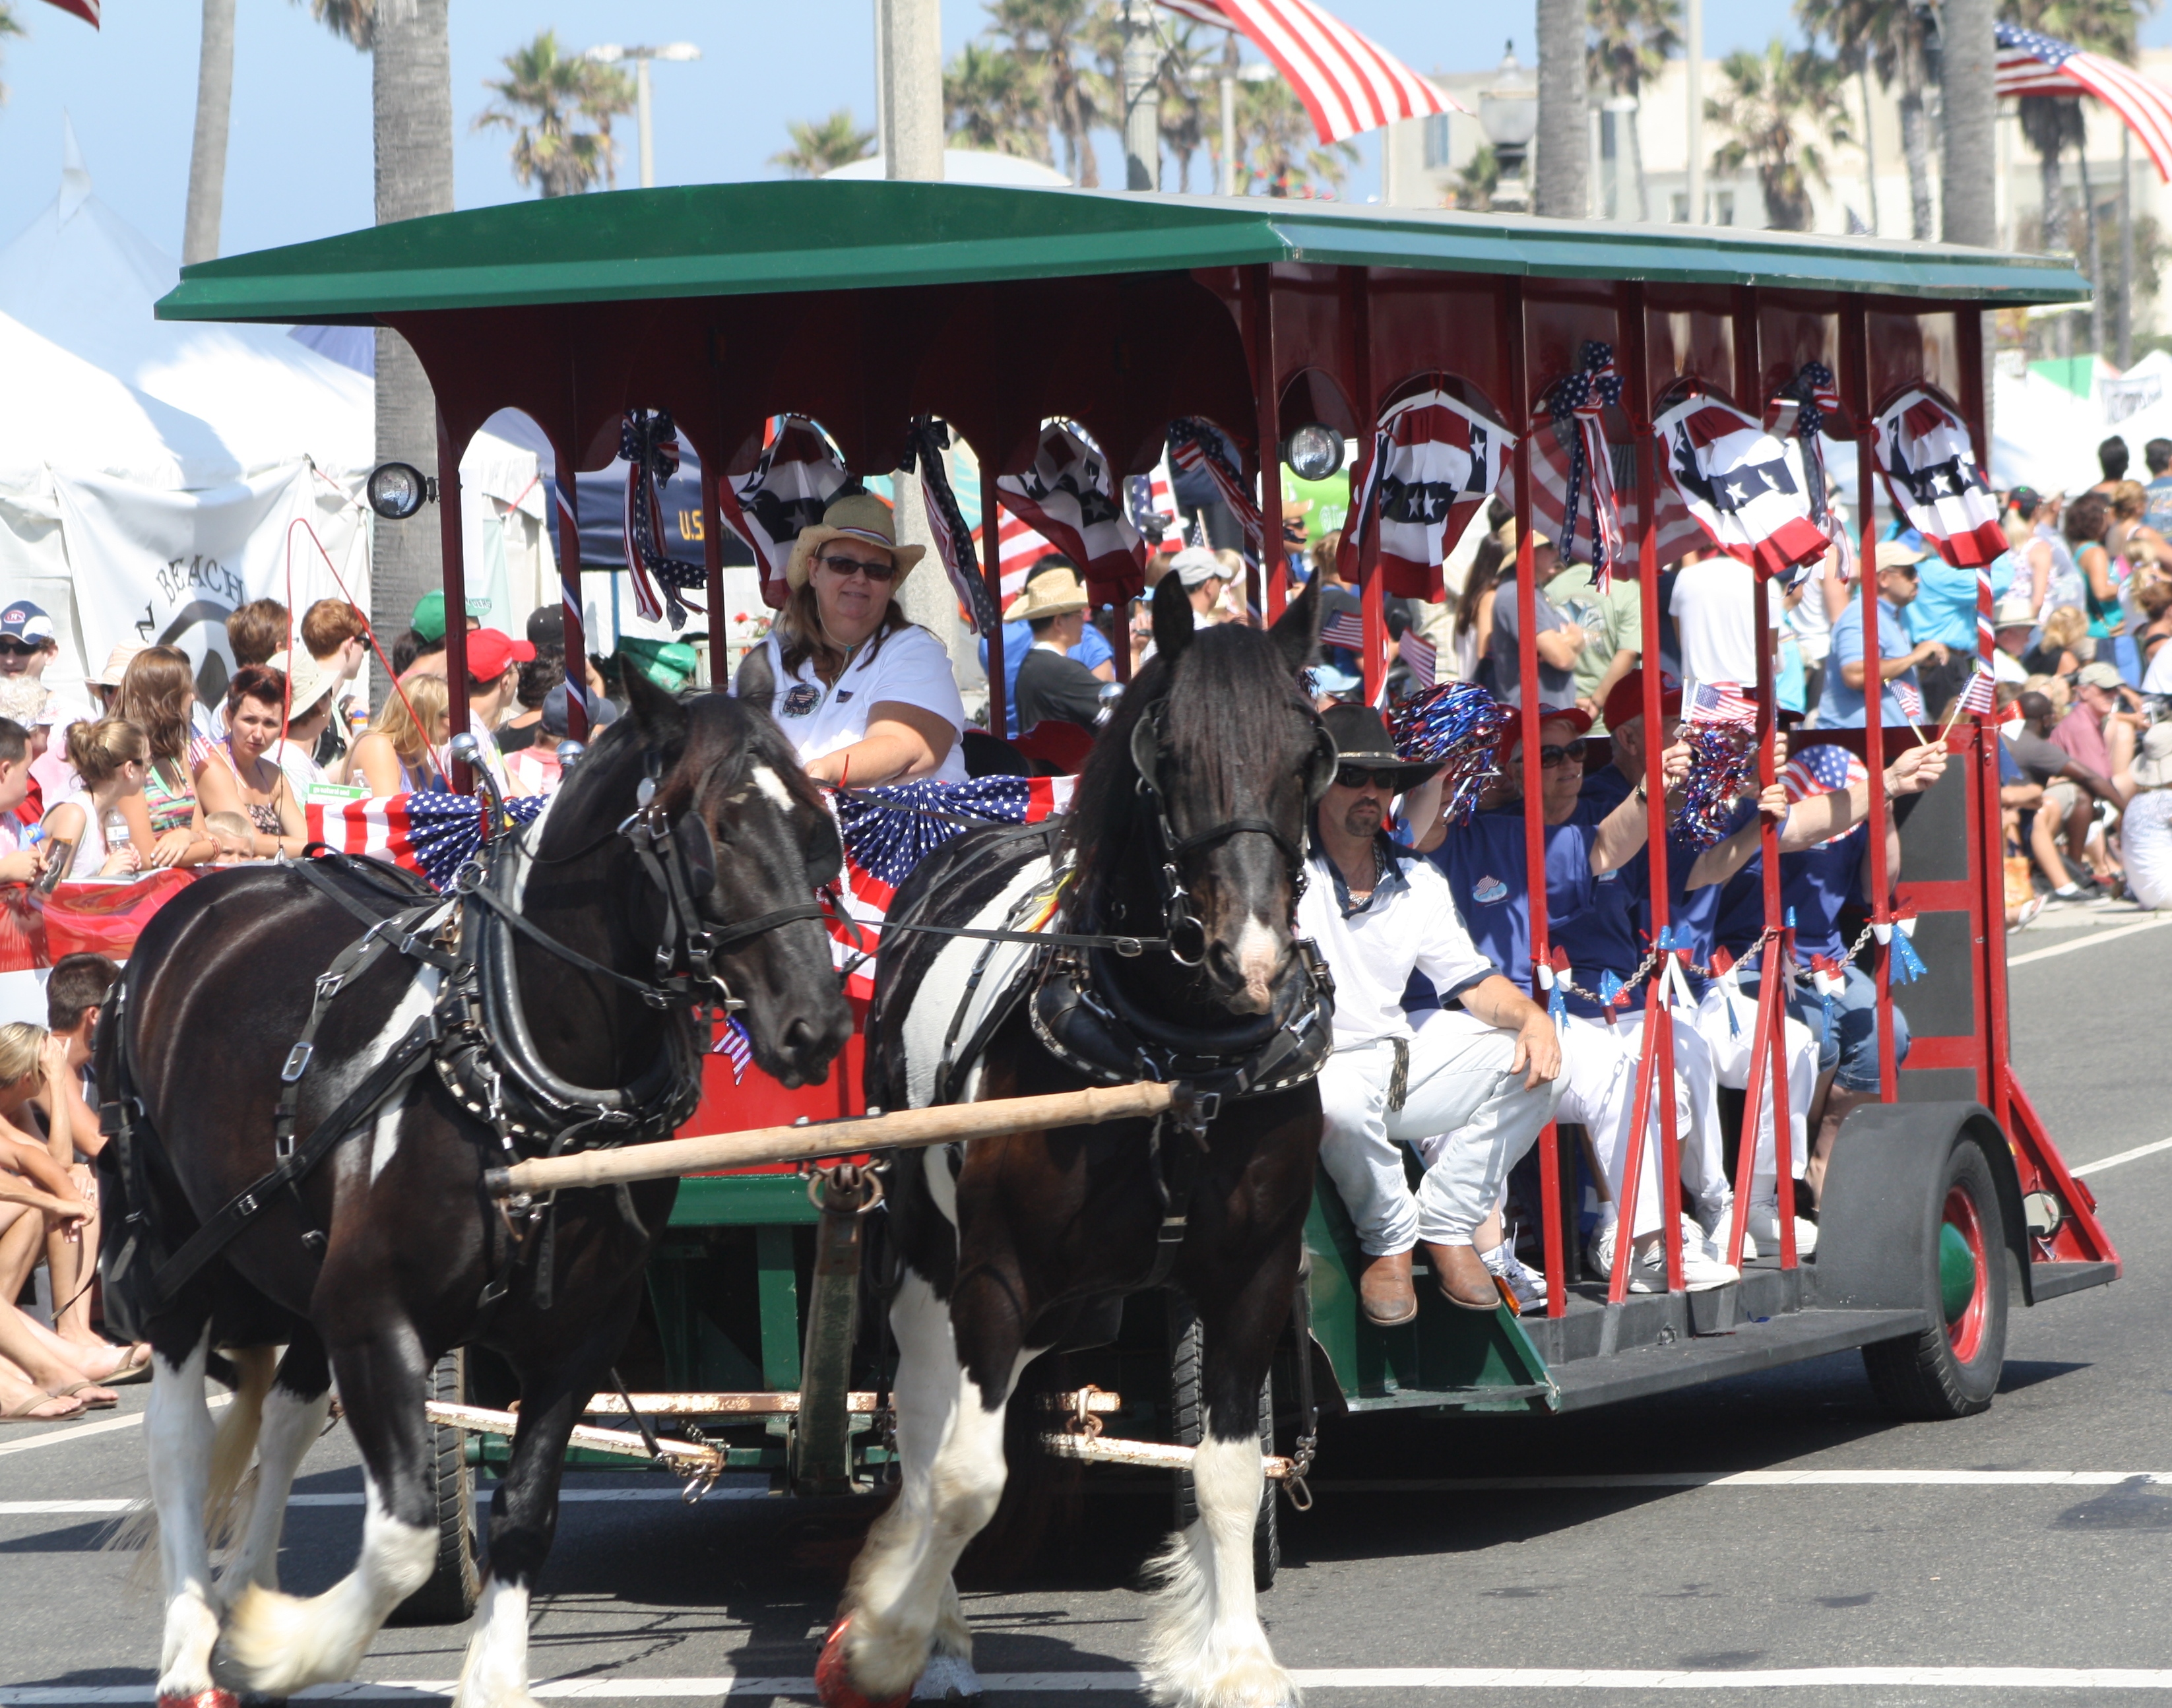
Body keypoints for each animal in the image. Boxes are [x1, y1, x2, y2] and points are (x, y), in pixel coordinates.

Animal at [100, 671, 853, 1708]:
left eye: (819, 825)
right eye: (715, 832)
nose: (817, 1026)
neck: (506, 1064)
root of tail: (220, 890)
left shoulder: (579, 1338)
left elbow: (526, 1515)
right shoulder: (375, 1314)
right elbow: (406, 1536)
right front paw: (288, 1646)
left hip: (297, 1258)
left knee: (288, 1420)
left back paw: (245, 1597)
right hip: (181, 1255)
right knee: (176, 1437)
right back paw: (188, 1649)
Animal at [820, 575, 1335, 1708]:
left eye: (1306, 753)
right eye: (1168, 754)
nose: (1252, 958)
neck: (1174, 1056)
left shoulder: (1253, 1273)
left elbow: (1229, 1474)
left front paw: (1236, 1662)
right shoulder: (996, 1273)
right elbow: (967, 1477)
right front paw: (883, 1641)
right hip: (925, 1255)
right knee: (926, 1422)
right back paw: (933, 1634)